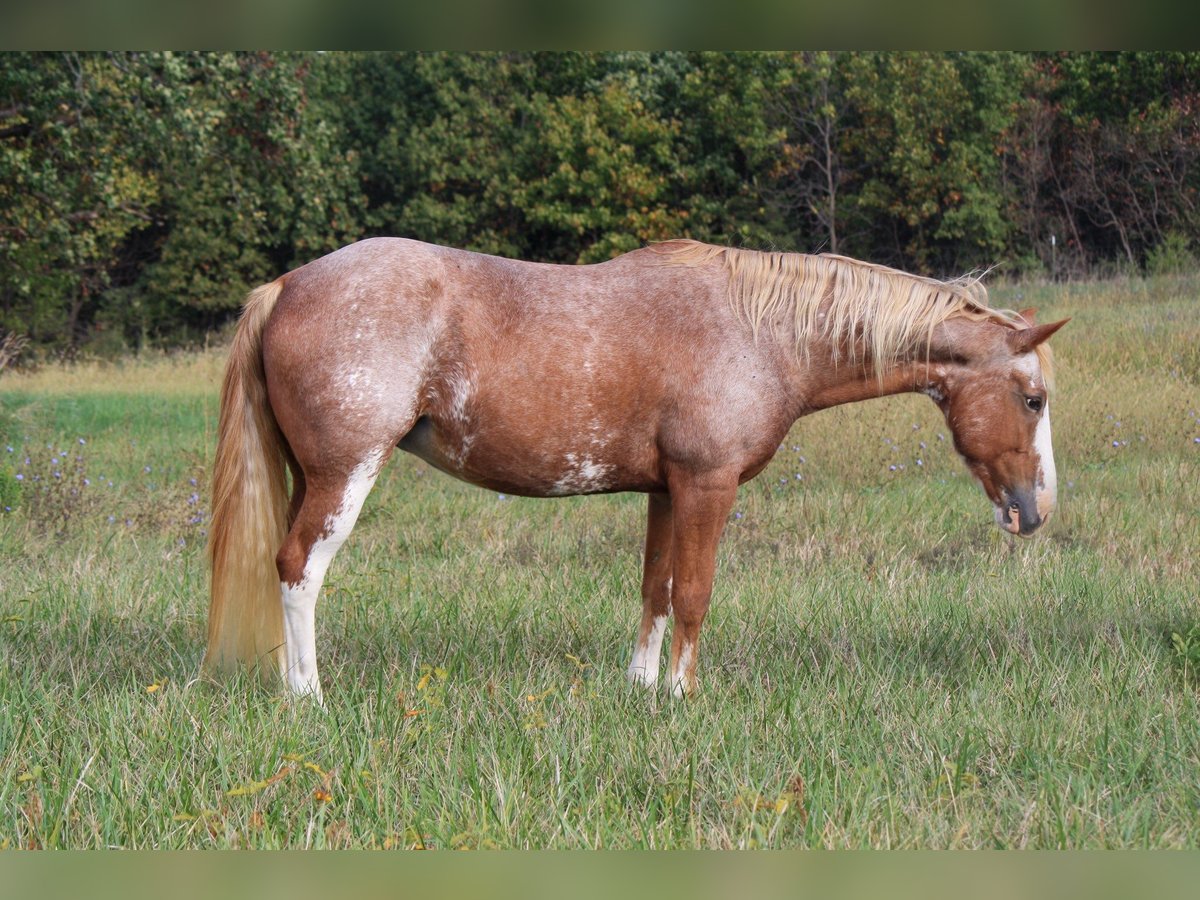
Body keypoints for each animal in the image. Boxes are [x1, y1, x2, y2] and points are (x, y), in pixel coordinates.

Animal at [204, 237, 1067, 702]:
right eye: (1032, 398)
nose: (1035, 511)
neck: (762, 332)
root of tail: (288, 284)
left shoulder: (665, 490)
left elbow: (654, 588)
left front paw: (643, 688)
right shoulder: (708, 485)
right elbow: (694, 594)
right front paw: (684, 695)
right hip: (343, 476)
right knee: (299, 568)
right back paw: (308, 696)